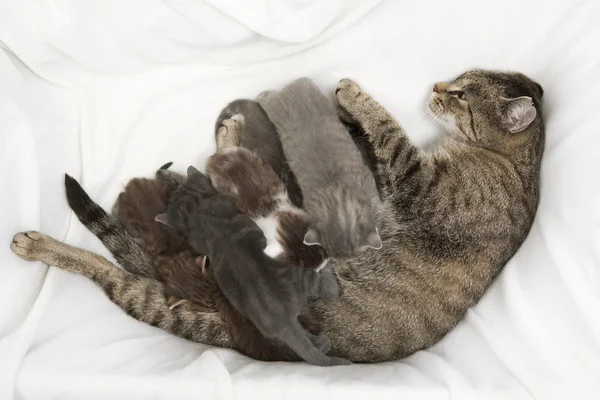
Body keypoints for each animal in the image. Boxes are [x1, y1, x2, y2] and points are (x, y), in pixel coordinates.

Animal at [155, 167, 352, 368]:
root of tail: (280, 319)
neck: (199, 211)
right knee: (329, 291)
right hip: (301, 275)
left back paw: (321, 342)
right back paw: (327, 270)